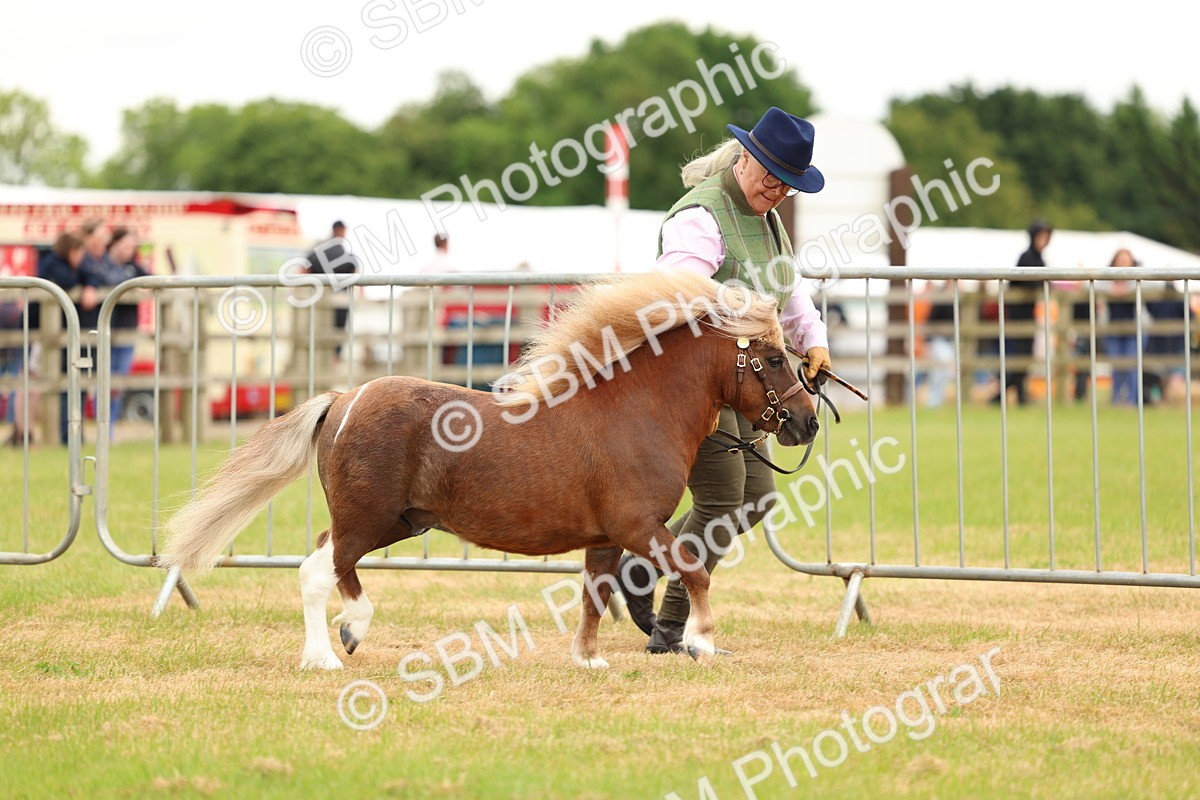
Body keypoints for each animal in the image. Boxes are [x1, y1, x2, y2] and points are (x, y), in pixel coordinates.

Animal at [158, 270, 820, 670]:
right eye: (769, 358)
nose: (806, 423)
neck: (637, 410)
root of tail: (343, 401)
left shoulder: (606, 538)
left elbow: (595, 594)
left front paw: (589, 658)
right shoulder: (638, 526)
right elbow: (695, 569)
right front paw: (701, 641)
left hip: (398, 521)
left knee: (328, 560)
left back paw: (341, 637)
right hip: (367, 520)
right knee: (320, 571)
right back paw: (332, 648)